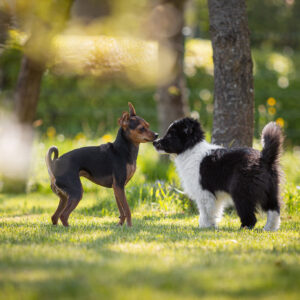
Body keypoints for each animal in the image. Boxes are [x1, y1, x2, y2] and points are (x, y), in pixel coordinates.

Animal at [154, 118, 282, 231]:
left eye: (170, 135)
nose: (155, 142)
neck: (191, 148)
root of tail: (264, 158)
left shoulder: (204, 192)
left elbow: (205, 211)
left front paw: (205, 226)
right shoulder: (215, 195)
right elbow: (215, 210)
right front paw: (210, 225)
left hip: (241, 192)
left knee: (250, 216)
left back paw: (243, 229)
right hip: (270, 191)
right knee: (274, 210)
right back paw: (269, 228)